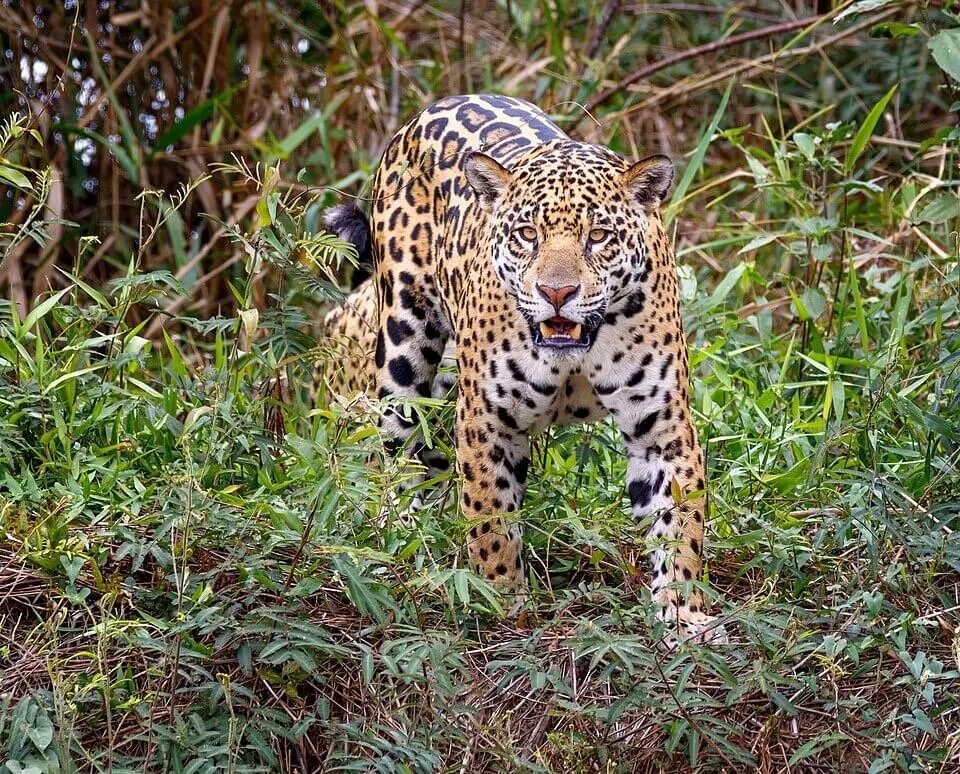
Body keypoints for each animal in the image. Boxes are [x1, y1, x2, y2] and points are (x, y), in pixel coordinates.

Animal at [322, 94, 726, 644]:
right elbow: (490, 519)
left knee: (430, 463)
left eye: (599, 235)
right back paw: (402, 543)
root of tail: (437, 106)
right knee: (396, 455)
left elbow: (679, 525)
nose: (557, 292)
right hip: (403, 351)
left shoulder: (662, 428)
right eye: (527, 235)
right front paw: (504, 603)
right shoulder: (487, 422)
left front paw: (683, 613)